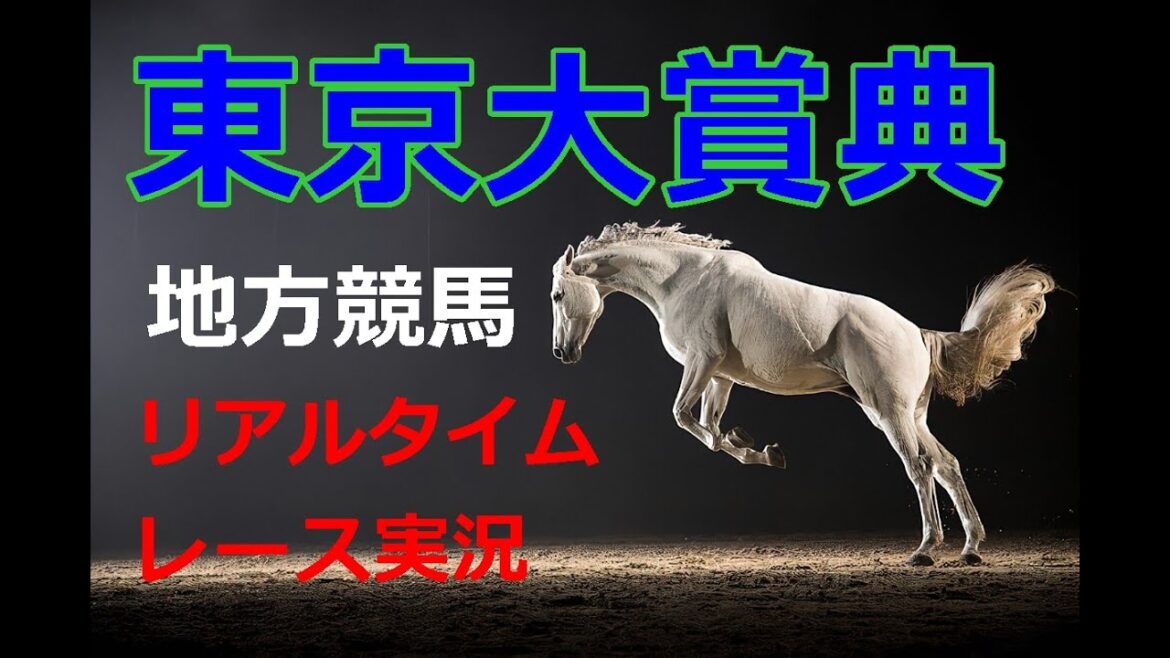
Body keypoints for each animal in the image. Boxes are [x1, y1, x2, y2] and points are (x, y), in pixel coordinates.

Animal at [549, 222, 1056, 566]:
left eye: (557, 295)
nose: (561, 352)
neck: (684, 279)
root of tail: (917, 333)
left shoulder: (702, 362)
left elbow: (683, 417)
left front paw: (756, 447)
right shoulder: (720, 376)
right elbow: (709, 429)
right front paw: (761, 450)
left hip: (890, 413)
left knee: (920, 467)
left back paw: (926, 550)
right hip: (905, 415)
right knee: (947, 464)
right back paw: (971, 547)